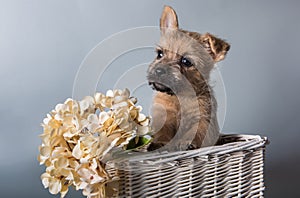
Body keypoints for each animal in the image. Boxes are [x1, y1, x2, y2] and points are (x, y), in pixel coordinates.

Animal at [147, 5, 230, 152]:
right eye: (160, 54)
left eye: (186, 61)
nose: (159, 70)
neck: (179, 97)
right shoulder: (163, 116)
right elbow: (163, 131)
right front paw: (159, 143)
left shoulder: (203, 118)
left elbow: (197, 131)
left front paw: (186, 142)